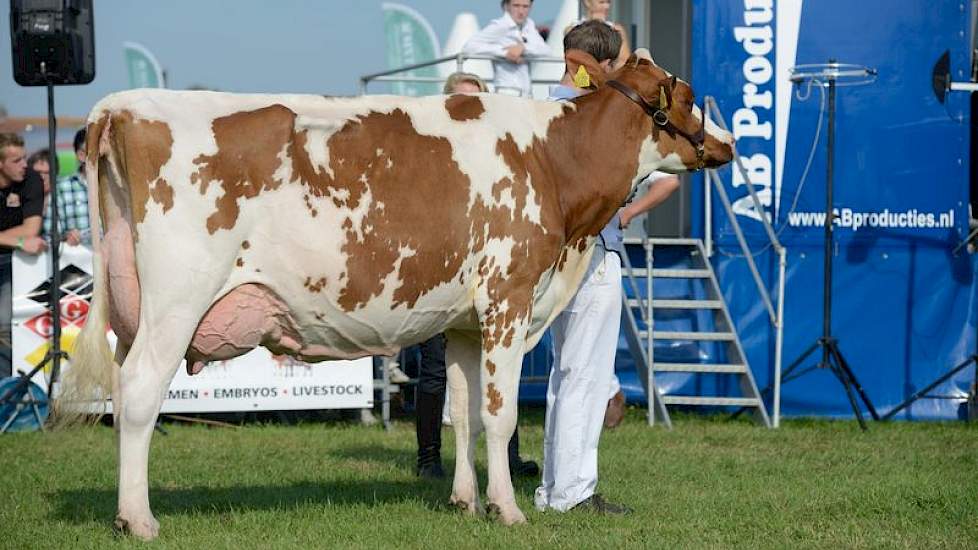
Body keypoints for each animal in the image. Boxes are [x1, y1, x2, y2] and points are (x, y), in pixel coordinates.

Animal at [61, 51, 728, 540]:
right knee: (140, 393)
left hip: (136, 306)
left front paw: (464, 501)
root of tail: (121, 105)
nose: (726, 142)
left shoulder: (464, 322)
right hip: (177, 300)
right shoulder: (508, 298)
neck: (553, 164)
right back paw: (139, 519)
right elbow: (500, 413)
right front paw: (507, 509)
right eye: (689, 95)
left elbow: (462, 411)